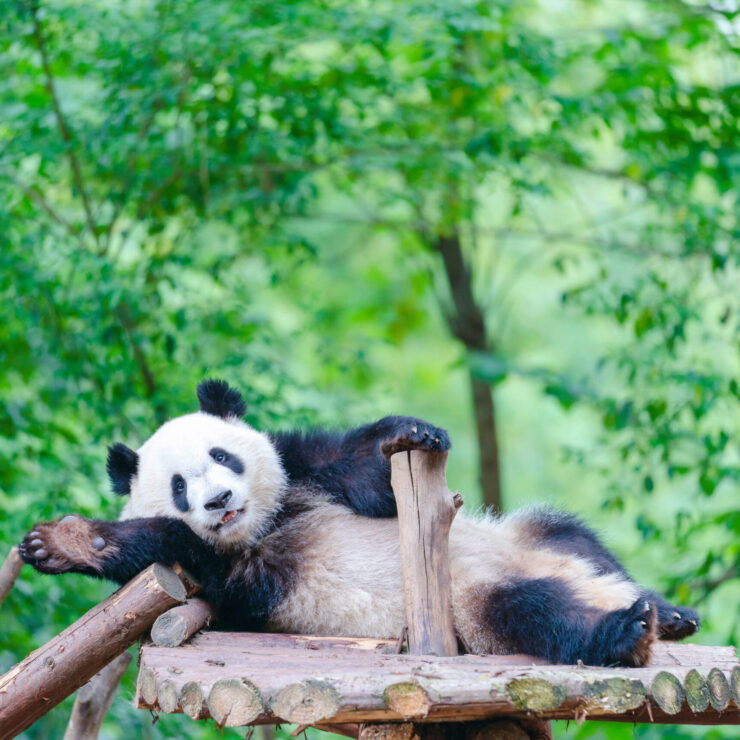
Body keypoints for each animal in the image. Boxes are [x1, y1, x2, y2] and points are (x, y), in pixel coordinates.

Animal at [19, 379, 699, 666]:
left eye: (222, 456)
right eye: (179, 487)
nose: (219, 501)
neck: (265, 523)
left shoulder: (304, 469)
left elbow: (367, 474)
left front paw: (411, 434)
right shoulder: (241, 578)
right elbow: (176, 546)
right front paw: (60, 542)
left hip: (529, 537)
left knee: (575, 537)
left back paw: (666, 613)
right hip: (471, 606)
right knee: (533, 613)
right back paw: (626, 631)